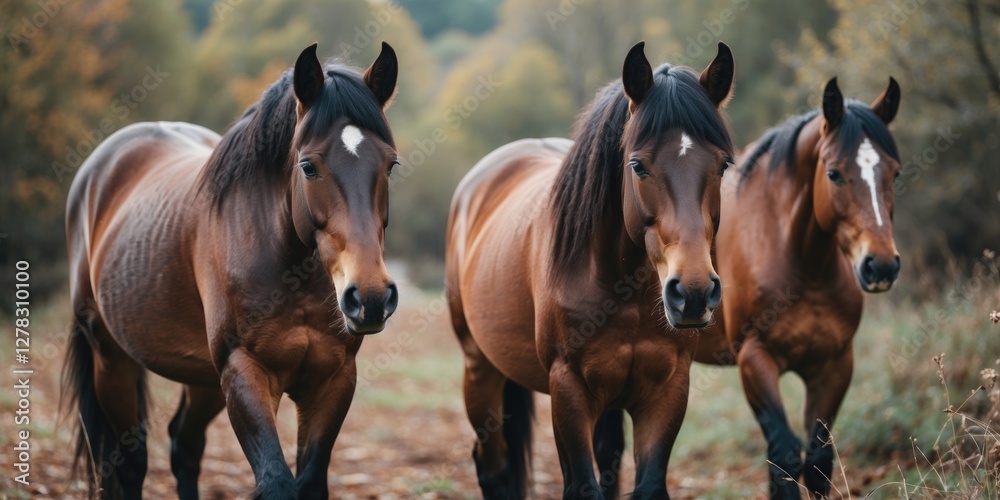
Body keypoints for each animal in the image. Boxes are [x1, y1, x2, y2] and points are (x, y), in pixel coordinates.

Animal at [62, 42, 401, 499]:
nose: (369, 298)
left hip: (202, 379)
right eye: (308, 167)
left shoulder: (332, 380)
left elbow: (309, 482)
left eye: (391, 165)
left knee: (183, 448)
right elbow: (276, 481)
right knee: (130, 465)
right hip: (111, 358)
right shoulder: (244, 372)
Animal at [445, 41, 736, 499]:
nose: (691, 294)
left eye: (723, 165)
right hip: (480, 369)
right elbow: (583, 484)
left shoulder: (668, 389)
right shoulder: (568, 390)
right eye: (637, 165)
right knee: (491, 466)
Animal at [691, 77, 902, 498]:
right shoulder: (755, 357)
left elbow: (817, 459)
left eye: (895, 173)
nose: (882, 265)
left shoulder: (834, 364)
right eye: (834, 173)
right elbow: (784, 454)